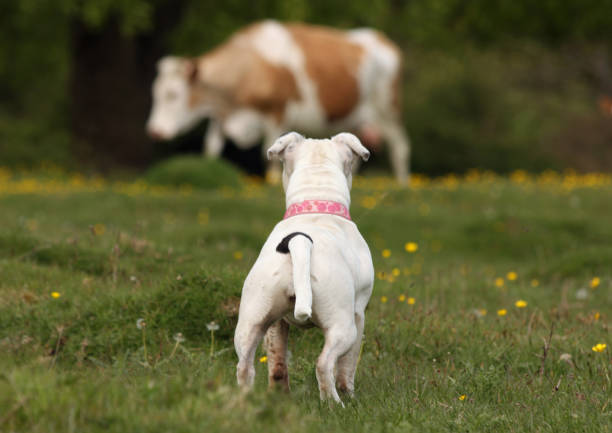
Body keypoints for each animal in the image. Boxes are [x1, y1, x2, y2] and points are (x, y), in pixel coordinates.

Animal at [145, 21, 408, 182]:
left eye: (173, 94)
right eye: (155, 93)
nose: (154, 132)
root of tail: (382, 39)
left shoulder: (278, 112)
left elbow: (266, 154)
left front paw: (271, 184)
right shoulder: (222, 116)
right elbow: (211, 149)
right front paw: (209, 171)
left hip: (388, 110)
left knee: (400, 147)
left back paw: (403, 185)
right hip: (356, 119)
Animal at [233, 130, 372, 404]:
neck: (316, 201)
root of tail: (299, 242)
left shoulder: (276, 323)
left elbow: (277, 361)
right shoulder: (359, 314)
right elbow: (348, 366)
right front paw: (349, 393)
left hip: (251, 320)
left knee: (246, 366)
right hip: (343, 327)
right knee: (325, 364)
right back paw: (335, 403)